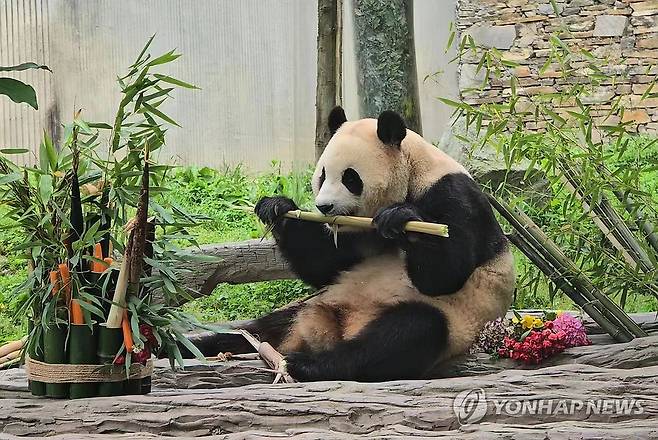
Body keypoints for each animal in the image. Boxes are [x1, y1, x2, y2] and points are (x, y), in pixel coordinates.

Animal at [193, 107, 512, 382]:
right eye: (322, 175)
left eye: (350, 177)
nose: (324, 207)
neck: (413, 172)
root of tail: (336, 328)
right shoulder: (356, 233)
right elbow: (326, 265)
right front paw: (277, 209)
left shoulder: (453, 195)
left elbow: (445, 274)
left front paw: (401, 219)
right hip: (309, 305)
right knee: (253, 331)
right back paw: (191, 347)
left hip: (453, 320)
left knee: (404, 335)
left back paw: (308, 365)